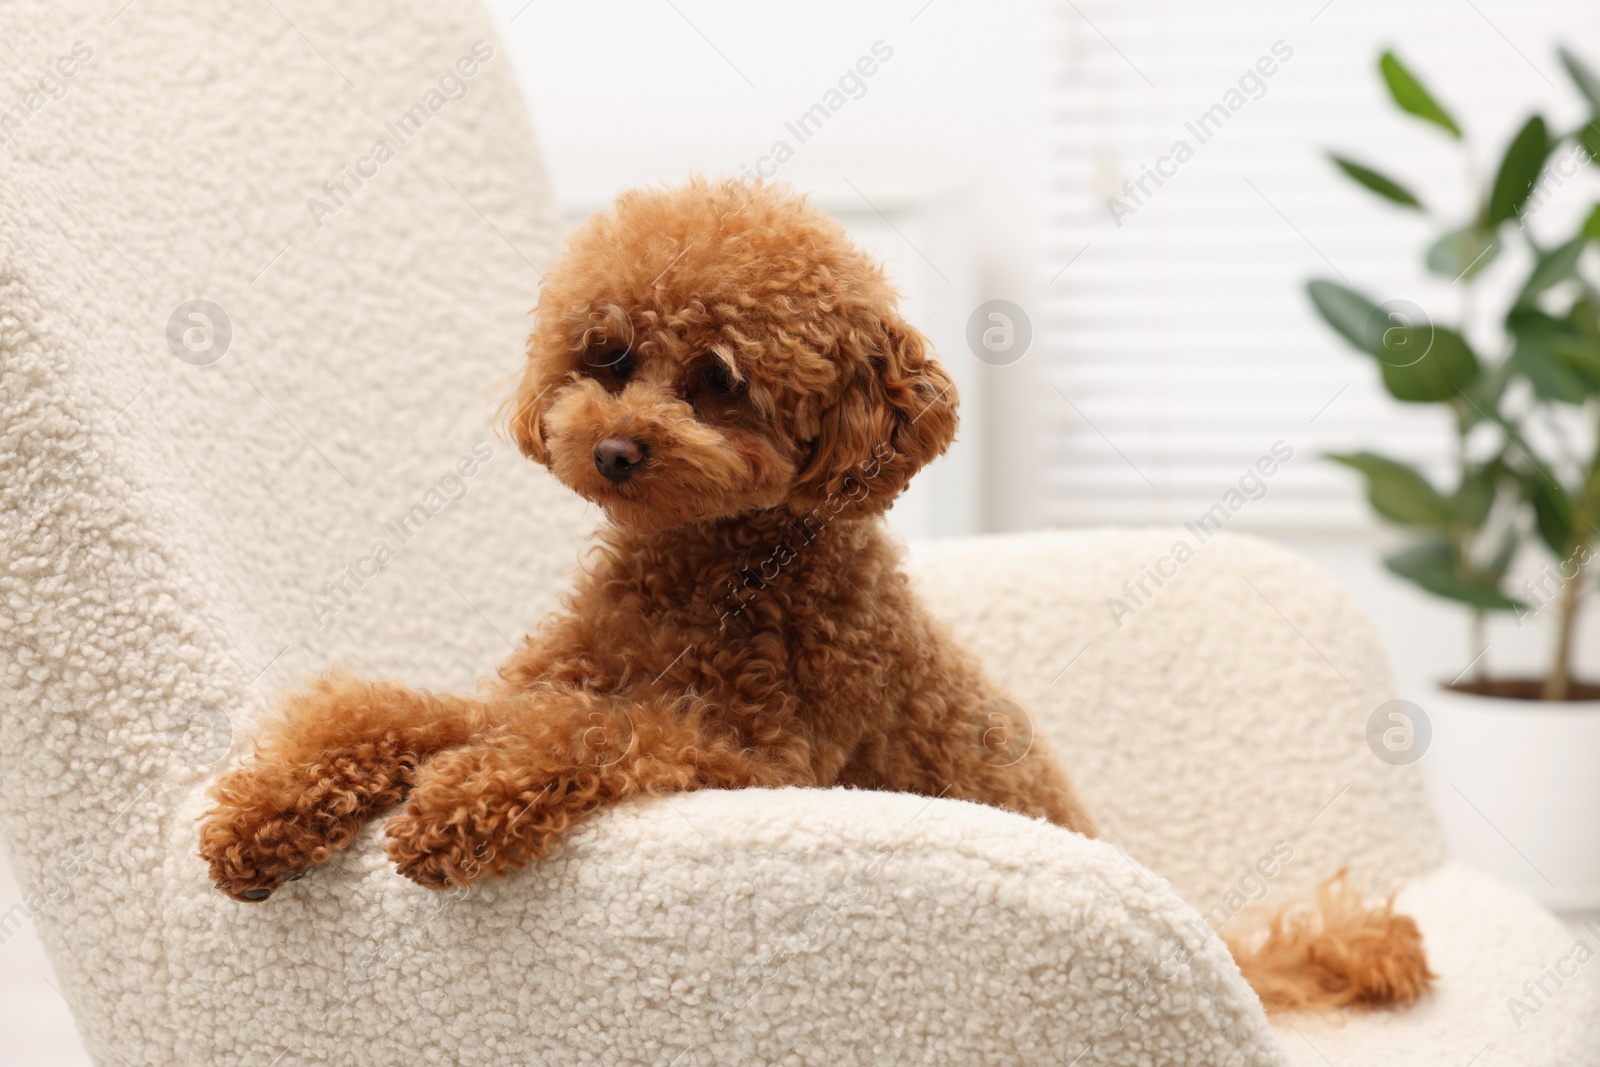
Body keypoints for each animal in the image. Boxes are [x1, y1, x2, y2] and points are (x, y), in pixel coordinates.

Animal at [203, 179, 1440, 1017]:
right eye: (607, 355)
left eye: (719, 381)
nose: (613, 449)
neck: (705, 572)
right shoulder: (526, 686)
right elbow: (390, 710)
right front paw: (264, 810)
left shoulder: (749, 754)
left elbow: (591, 732)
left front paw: (452, 809)